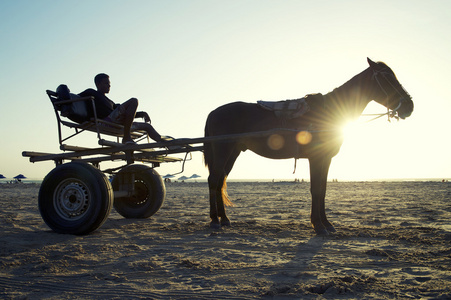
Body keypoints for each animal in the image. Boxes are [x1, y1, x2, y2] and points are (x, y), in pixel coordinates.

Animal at [203, 58, 414, 234]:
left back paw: (224, 218)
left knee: (219, 180)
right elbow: (316, 189)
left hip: (233, 152)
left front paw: (327, 223)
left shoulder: (326, 159)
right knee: (214, 180)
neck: (329, 111)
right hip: (223, 151)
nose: (409, 106)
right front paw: (318, 225)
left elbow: (323, 189)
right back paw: (215, 220)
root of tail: (214, 112)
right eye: (387, 78)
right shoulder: (316, 157)